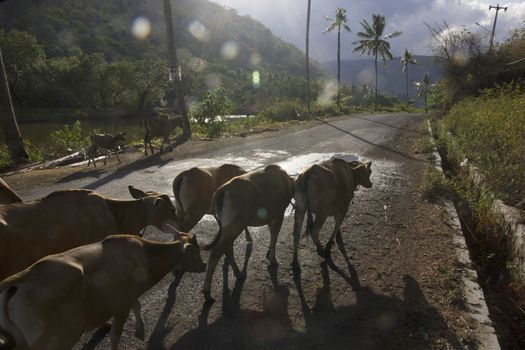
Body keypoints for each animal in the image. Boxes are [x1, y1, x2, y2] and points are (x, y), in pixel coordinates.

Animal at [0, 232, 205, 350]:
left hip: (20, 341)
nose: (203, 266)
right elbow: (116, 335)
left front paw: (140, 331)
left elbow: (137, 305)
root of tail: (16, 282)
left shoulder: (128, 297)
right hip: (55, 339)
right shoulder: (122, 305)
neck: (145, 257)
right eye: (197, 250)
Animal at [201, 165, 292, 302]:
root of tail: (222, 190)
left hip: (229, 228)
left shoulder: (271, 216)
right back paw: (207, 291)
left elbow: (272, 234)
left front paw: (269, 252)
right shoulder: (279, 214)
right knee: (216, 252)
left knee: (227, 248)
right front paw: (273, 259)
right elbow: (275, 236)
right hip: (235, 226)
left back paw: (238, 274)